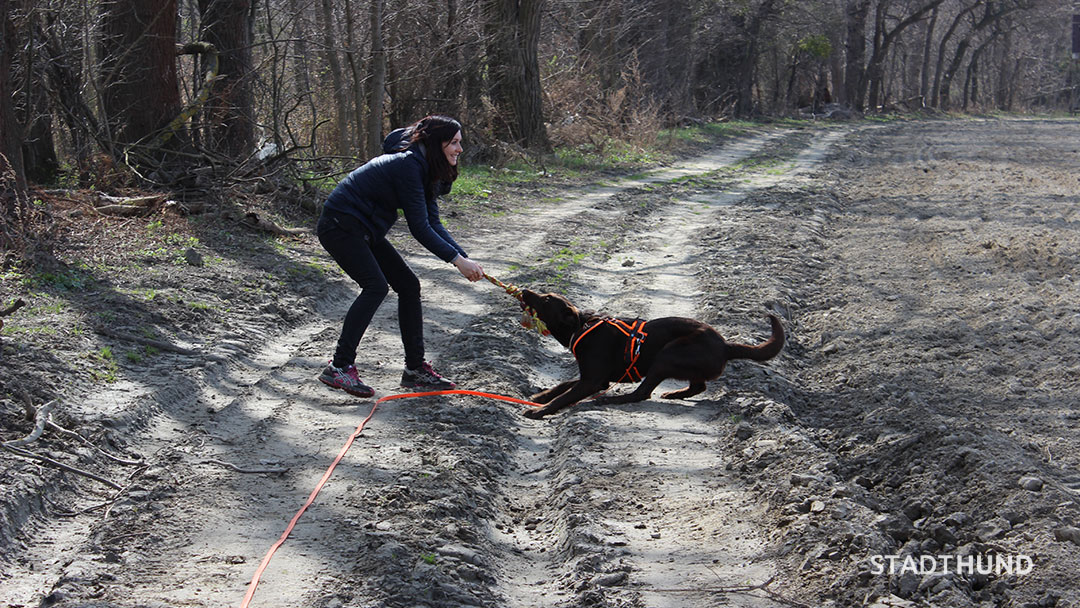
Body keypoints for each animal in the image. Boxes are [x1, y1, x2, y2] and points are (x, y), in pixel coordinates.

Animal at [516, 289, 786, 419]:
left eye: (547, 299)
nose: (524, 290)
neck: (579, 326)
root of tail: (725, 345)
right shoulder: (594, 379)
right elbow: (562, 386)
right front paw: (541, 396)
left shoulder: (592, 381)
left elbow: (564, 397)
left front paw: (538, 411)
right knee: (697, 386)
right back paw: (675, 394)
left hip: (666, 355)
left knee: (642, 393)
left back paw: (610, 401)